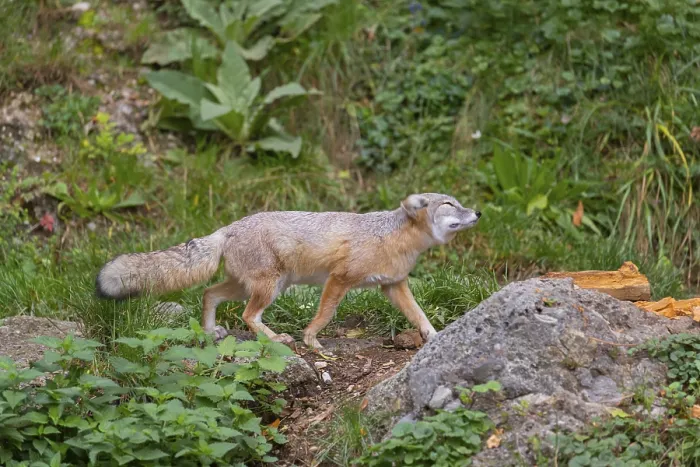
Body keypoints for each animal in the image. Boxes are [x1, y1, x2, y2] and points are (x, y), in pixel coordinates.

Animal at [95, 193, 481, 349]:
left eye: (460, 202)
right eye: (450, 204)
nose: (478, 212)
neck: (393, 238)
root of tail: (228, 228)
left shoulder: (394, 286)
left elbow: (419, 315)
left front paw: (435, 335)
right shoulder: (339, 279)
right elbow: (325, 314)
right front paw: (311, 338)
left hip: (250, 286)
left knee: (208, 294)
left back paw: (209, 332)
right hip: (271, 287)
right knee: (248, 315)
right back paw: (277, 338)